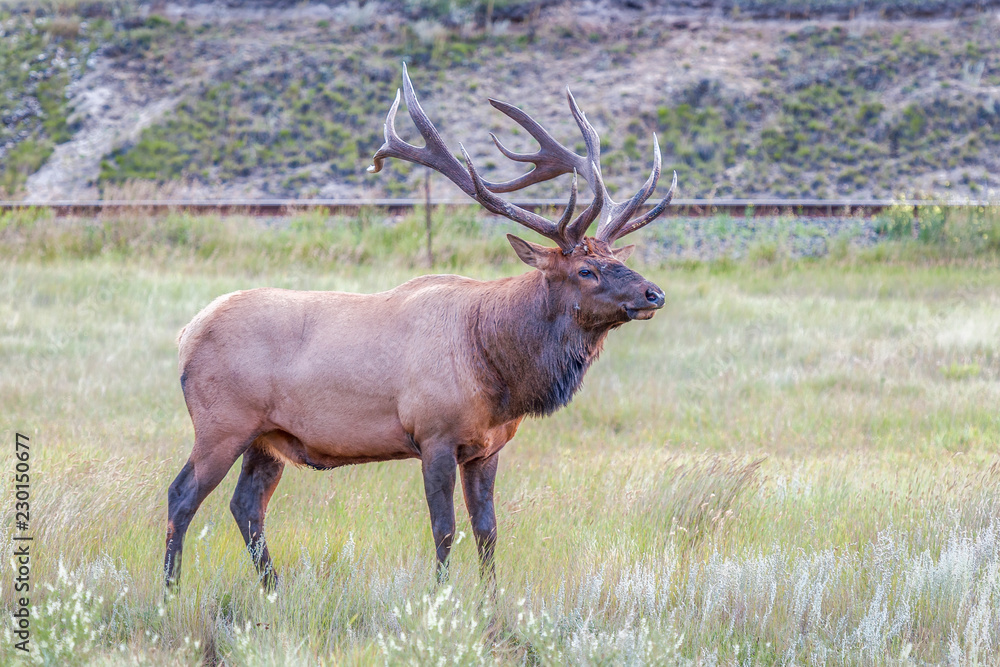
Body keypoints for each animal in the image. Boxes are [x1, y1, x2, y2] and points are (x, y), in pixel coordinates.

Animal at [163, 65, 676, 590]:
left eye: (616, 258)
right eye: (586, 271)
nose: (653, 294)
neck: (496, 367)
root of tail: (185, 335)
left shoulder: (486, 448)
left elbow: (488, 530)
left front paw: (490, 600)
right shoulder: (434, 435)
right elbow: (445, 529)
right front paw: (440, 595)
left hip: (267, 437)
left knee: (246, 506)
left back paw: (272, 590)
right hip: (222, 424)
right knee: (181, 495)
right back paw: (171, 590)